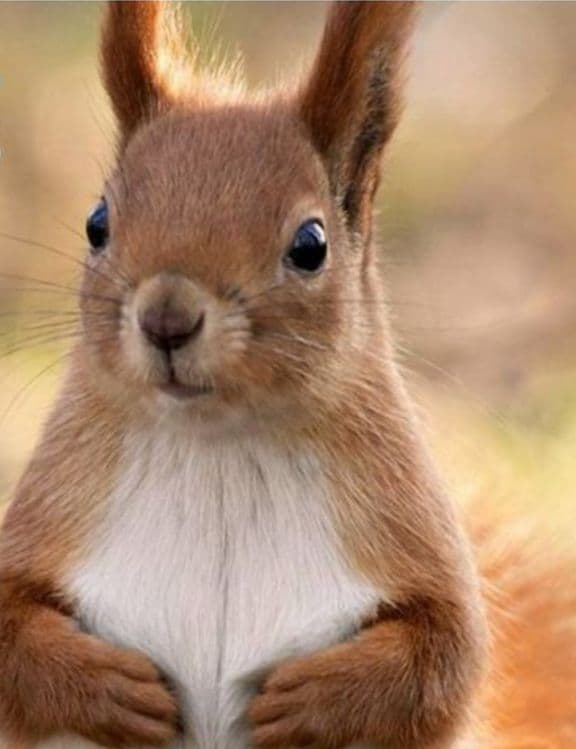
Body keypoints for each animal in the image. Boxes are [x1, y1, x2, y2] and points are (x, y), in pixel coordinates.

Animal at [0, 3, 574, 749]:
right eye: (97, 223)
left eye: (311, 244)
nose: (167, 317)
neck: (218, 451)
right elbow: (11, 630)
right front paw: (110, 687)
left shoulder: (412, 533)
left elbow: (447, 655)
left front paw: (313, 698)